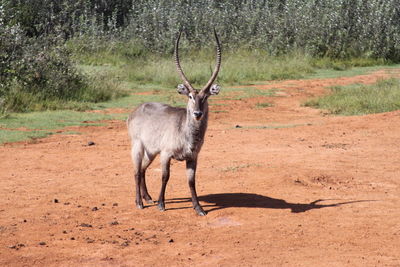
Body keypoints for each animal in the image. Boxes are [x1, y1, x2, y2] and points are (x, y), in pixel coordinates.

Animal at [127, 30, 222, 217]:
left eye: (205, 97)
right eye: (190, 96)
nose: (198, 114)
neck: (185, 132)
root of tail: (137, 109)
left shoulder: (193, 157)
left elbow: (192, 181)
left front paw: (199, 208)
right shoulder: (166, 154)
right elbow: (165, 177)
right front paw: (161, 204)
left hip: (151, 151)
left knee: (142, 169)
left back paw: (148, 198)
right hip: (138, 146)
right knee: (136, 171)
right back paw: (139, 202)